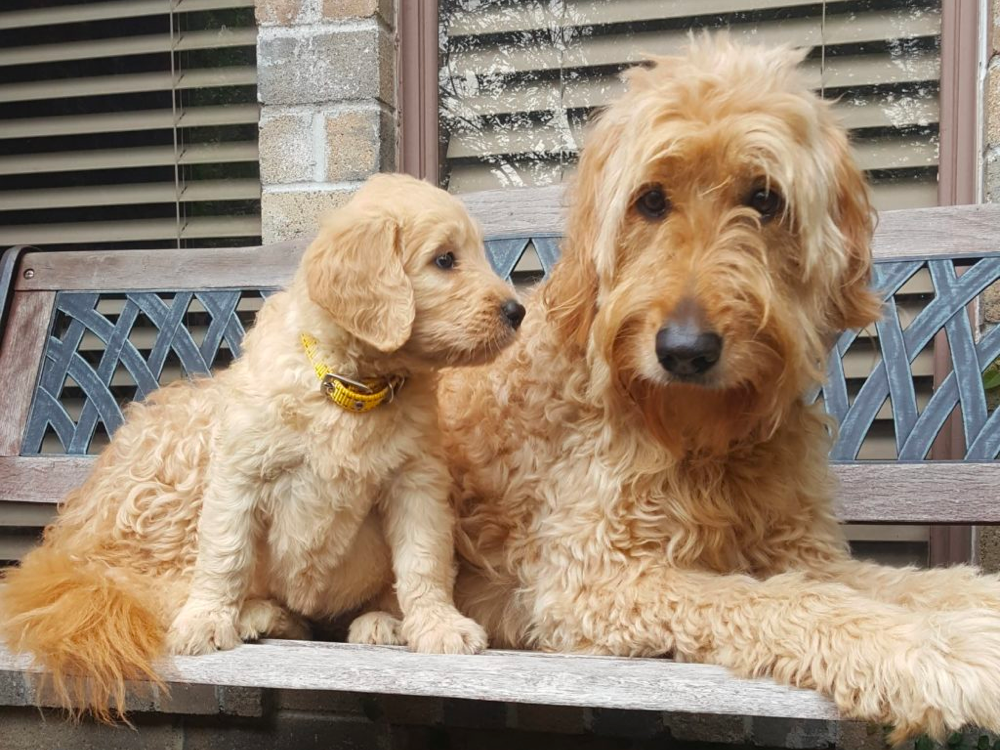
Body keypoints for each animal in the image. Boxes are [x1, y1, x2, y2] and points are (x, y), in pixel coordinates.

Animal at [0, 175, 528, 724]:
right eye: (445, 259)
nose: (518, 311)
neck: (352, 391)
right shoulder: (240, 472)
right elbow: (225, 554)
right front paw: (205, 619)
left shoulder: (417, 481)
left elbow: (423, 559)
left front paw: (437, 624)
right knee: (149, 587)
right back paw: (253, 613)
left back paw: (364, 618)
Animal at [442, 38, 1000, 744]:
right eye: (651, 201)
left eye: (764, 198)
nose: (685, 351)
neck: (706, 439)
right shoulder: (595, 580)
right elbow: (779, 599)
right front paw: (932, 650)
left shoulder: (802, 550)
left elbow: (912, 585)